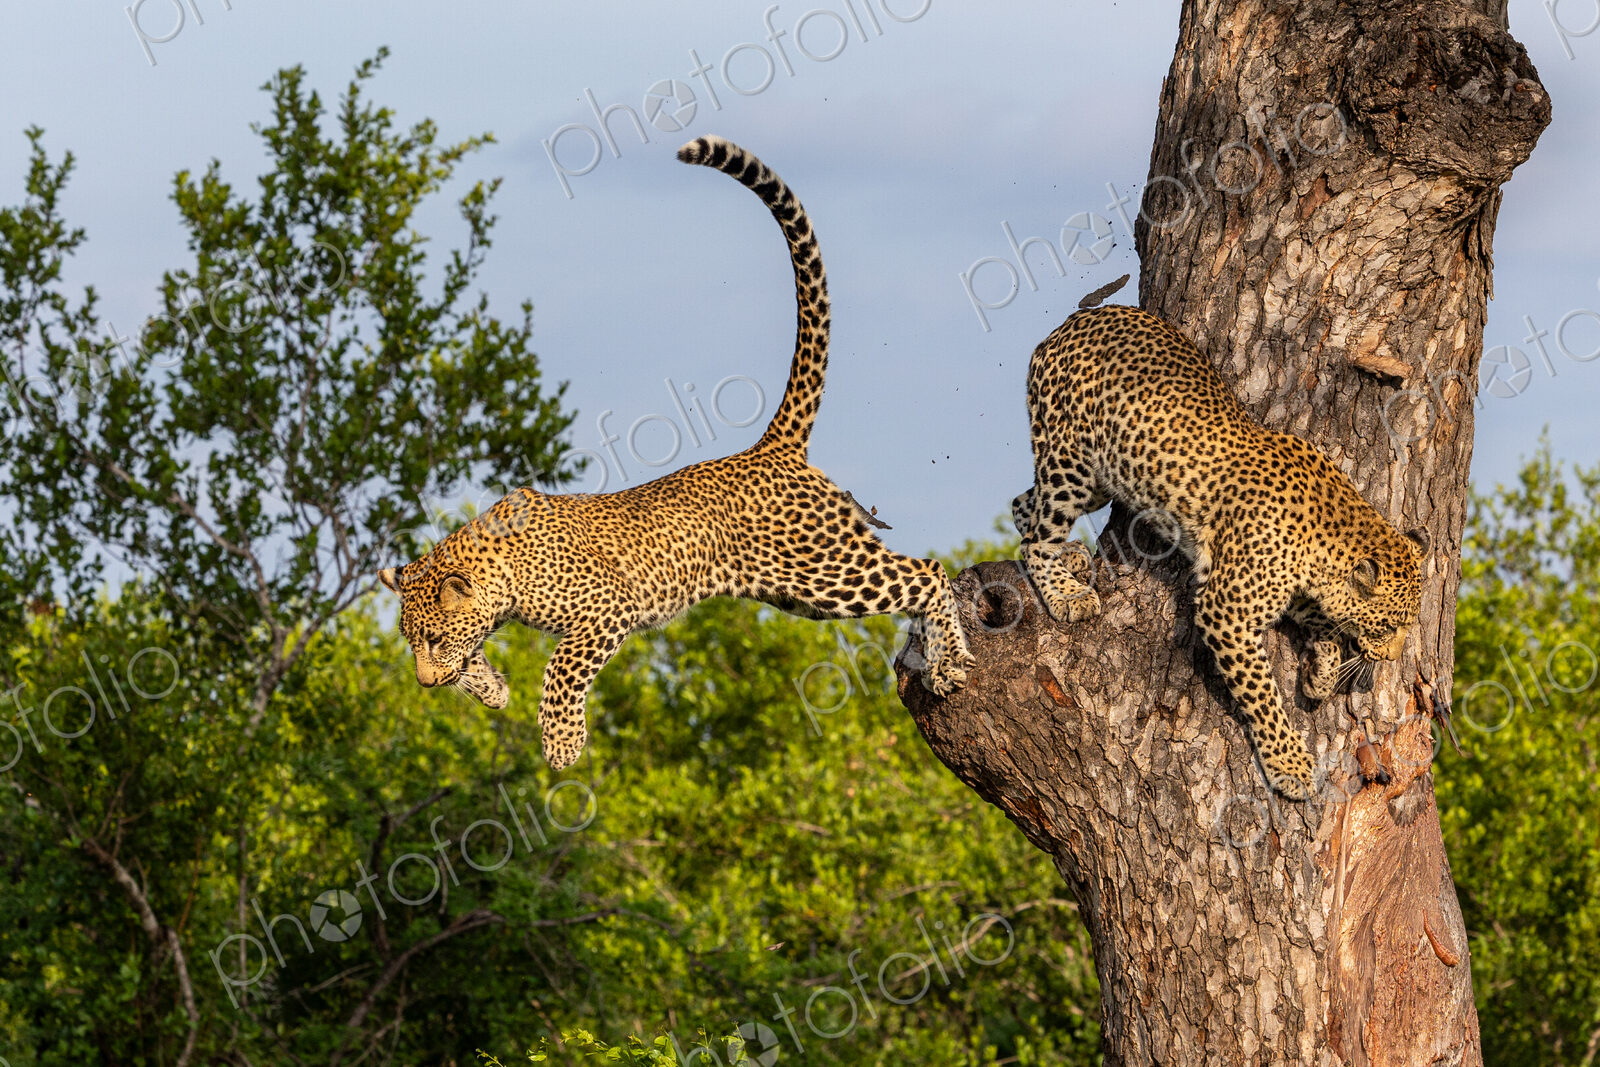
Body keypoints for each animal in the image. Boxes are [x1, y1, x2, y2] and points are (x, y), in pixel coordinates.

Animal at [379, 135, 974, 771]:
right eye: (415, 643)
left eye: (434, 637)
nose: (423, 683)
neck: (505, 570)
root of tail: (770, 449)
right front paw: (490, 688)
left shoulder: (606, 607)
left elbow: (560, 671)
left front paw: (561, 746)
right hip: (801, 589)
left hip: (824, 570)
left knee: (928, 572)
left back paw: (951, 665)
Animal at [1011, 304, 1429, 800]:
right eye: (1388, 626)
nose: (1391, 659)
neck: (1326, 532)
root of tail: (1065, 327)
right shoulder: (1227, 608)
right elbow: (1262, 694)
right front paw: (1290, 764)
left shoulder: (1294, 589)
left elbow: (1325, 622)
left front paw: (1321, 675)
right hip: (1071, 461)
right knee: (1034, 537)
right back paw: (1067, 593)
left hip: (1100, 475)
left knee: (1022, 505)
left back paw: (1072, 558)